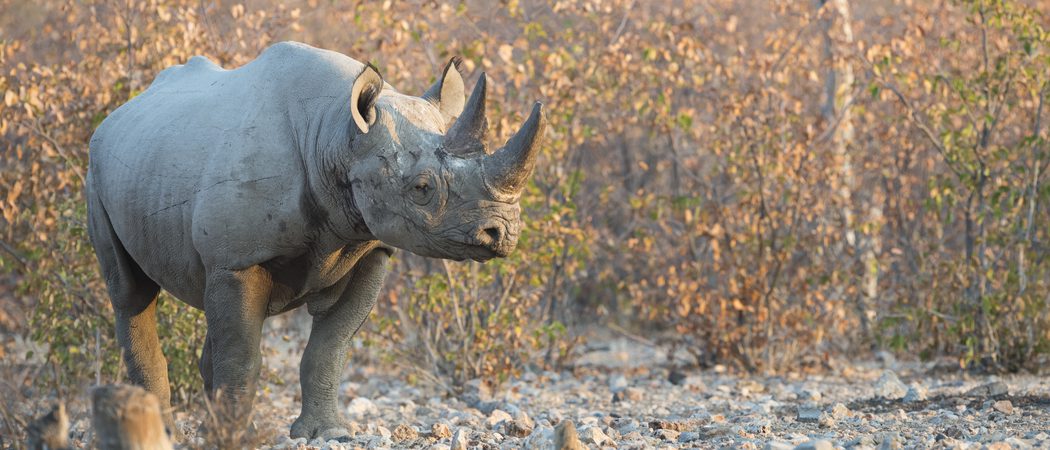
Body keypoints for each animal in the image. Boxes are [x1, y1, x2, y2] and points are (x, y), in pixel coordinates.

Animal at [86, 41, 544, 440]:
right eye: (421, 188)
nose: (502, 233)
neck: (336, 134)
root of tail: (116, 114)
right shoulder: (239, 259)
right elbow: (243, 355)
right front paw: (238, 438)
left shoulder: (370, 247)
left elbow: (329, 347)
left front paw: (328, 432)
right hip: (97, 169)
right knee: (131, 293)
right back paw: (163, 429)